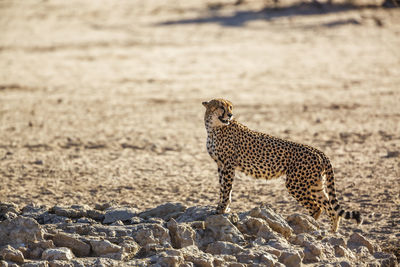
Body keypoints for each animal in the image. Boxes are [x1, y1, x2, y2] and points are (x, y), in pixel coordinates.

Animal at [203, 98, 362, 232]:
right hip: (315, 184)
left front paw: (222, 209)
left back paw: (306, 226)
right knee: (329, 206)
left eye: (230, 107)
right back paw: (331, 232)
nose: (230, 115)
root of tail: (318, 150)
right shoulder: (221, 165)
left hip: (295, 183)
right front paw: (224, 208)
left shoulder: (228, 165)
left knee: (317, 207)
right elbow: (223, 188)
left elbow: (226, 189)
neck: (213, 128)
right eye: (221, 107)